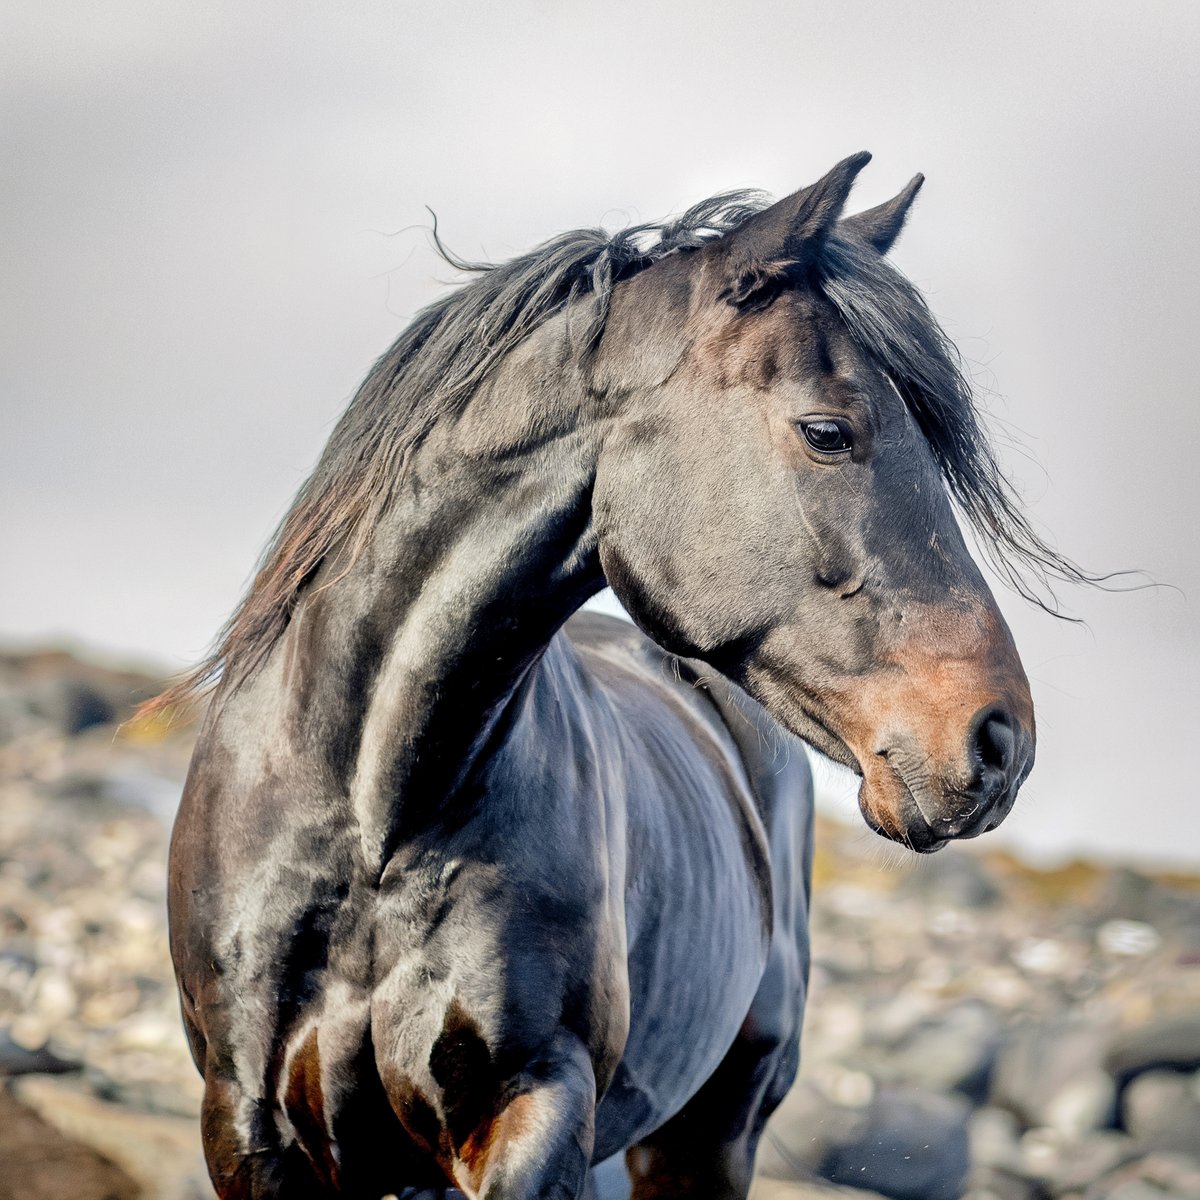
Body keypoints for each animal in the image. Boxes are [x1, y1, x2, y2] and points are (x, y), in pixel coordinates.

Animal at [152, 157, 1080, 1200]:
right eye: (828, 431)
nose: (999, 740)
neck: (375, 816)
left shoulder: (533, 1112)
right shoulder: (249, 1123)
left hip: (711, 1134)